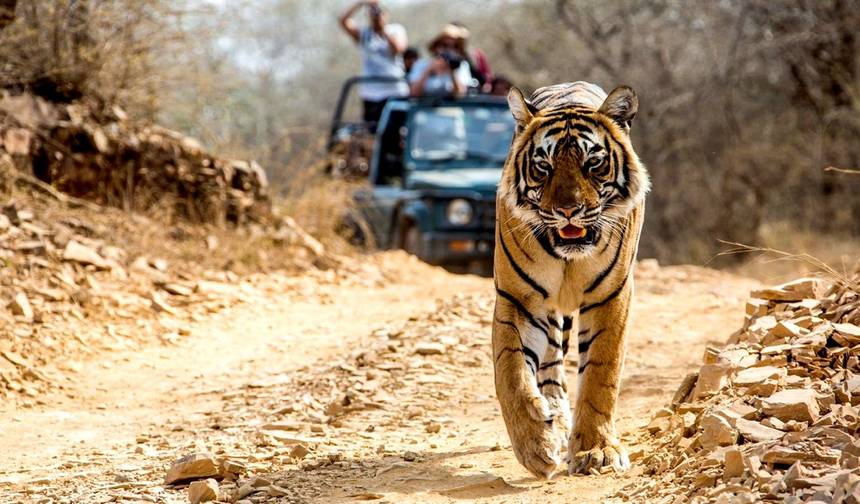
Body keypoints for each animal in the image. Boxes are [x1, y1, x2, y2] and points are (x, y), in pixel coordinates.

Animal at [492, 81, 649, 478]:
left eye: (592, 163)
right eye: (543, 167)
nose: (567, 211)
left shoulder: (612, 296)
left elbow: (600, 377)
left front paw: (597, 451)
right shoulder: (518, 299)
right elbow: (511, 373)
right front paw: (535, 445)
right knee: (549, 366)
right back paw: (554, 419)